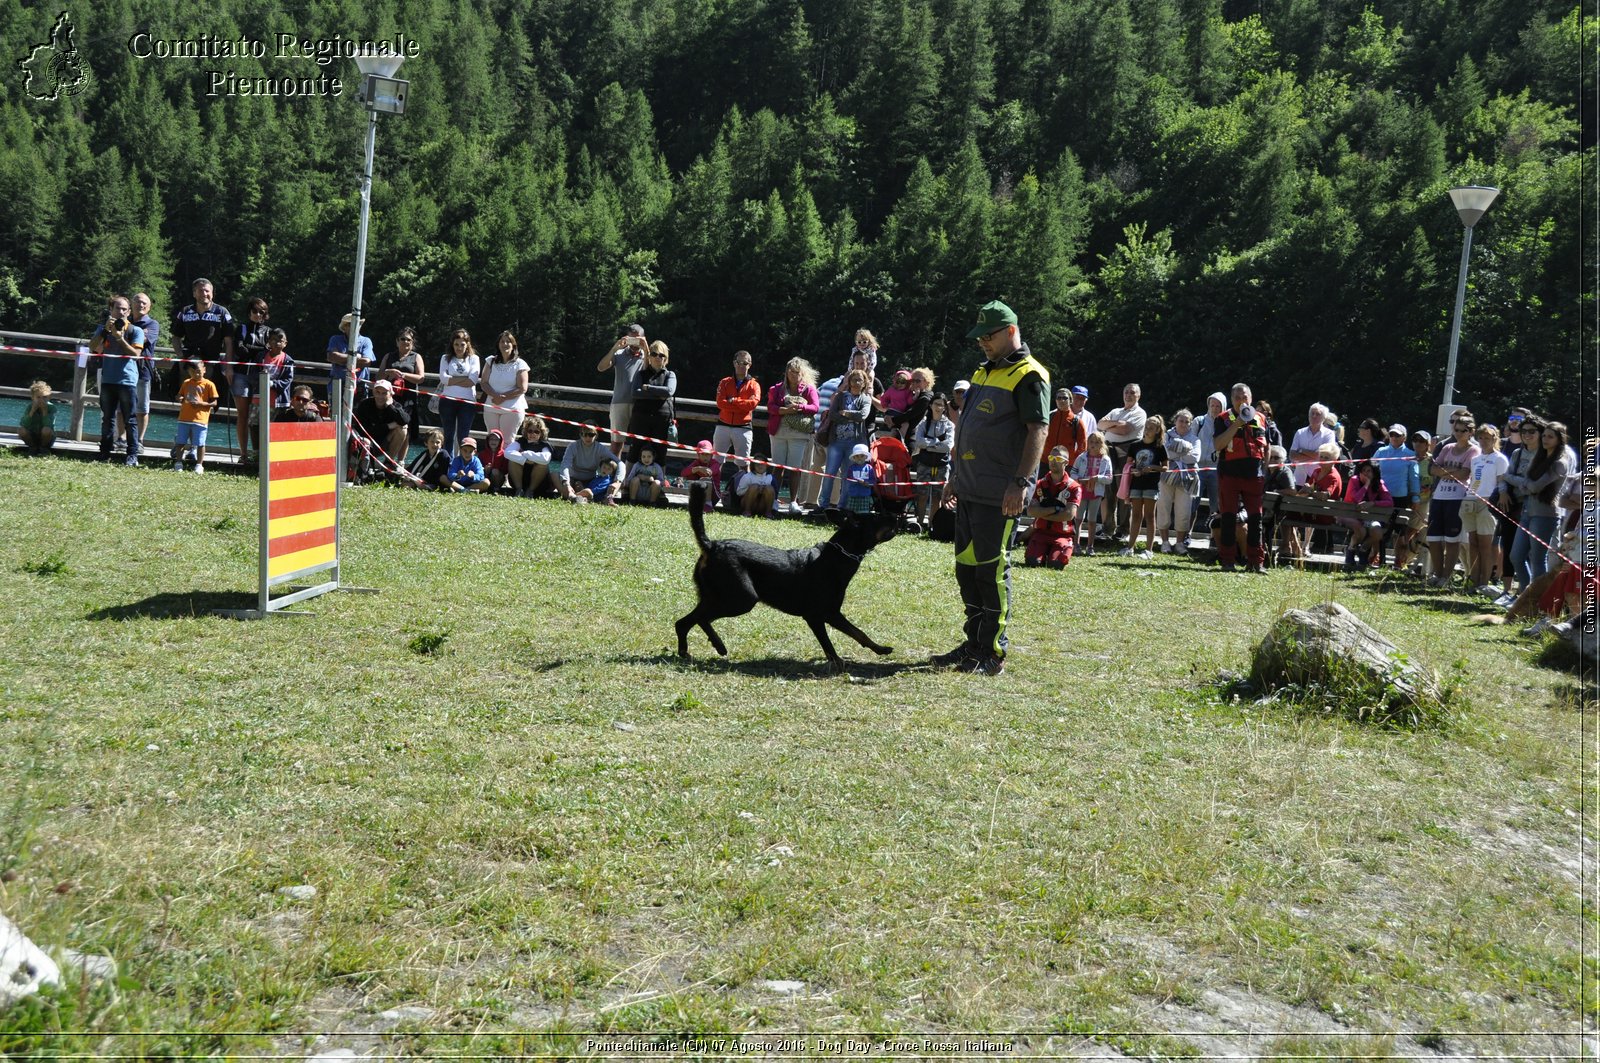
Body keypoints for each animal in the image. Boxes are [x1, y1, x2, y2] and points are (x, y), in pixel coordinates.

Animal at [672, 483, 902, 669]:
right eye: (876, 517)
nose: (896, 516)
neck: (836, 556)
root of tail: (711, 546)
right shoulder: (817, 616)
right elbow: (830, 643)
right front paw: (839, 662)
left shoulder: (831, 614)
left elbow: (858, 633)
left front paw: (880, 649)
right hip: (741, 599)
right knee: (699, 619)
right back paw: (715, 646)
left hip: (716, 596)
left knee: (686, 621)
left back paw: (694, 650)